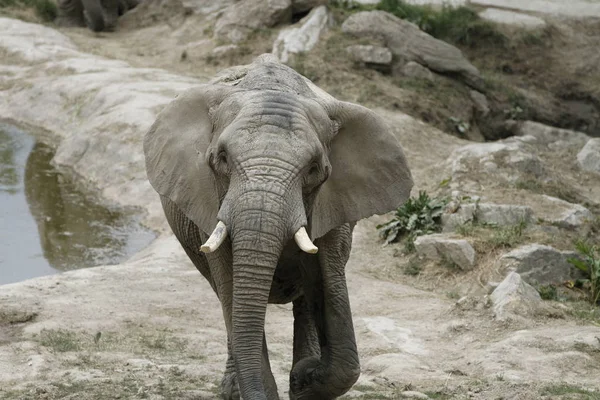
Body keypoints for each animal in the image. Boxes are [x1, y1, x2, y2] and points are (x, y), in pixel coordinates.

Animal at [144, 54, 414, 400]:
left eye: (314, 169)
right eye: (221, 158)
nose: (300, 377)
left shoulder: (334, 205)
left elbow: (329, 284)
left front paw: (303, 380)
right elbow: (231, 286)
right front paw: (292, 381)